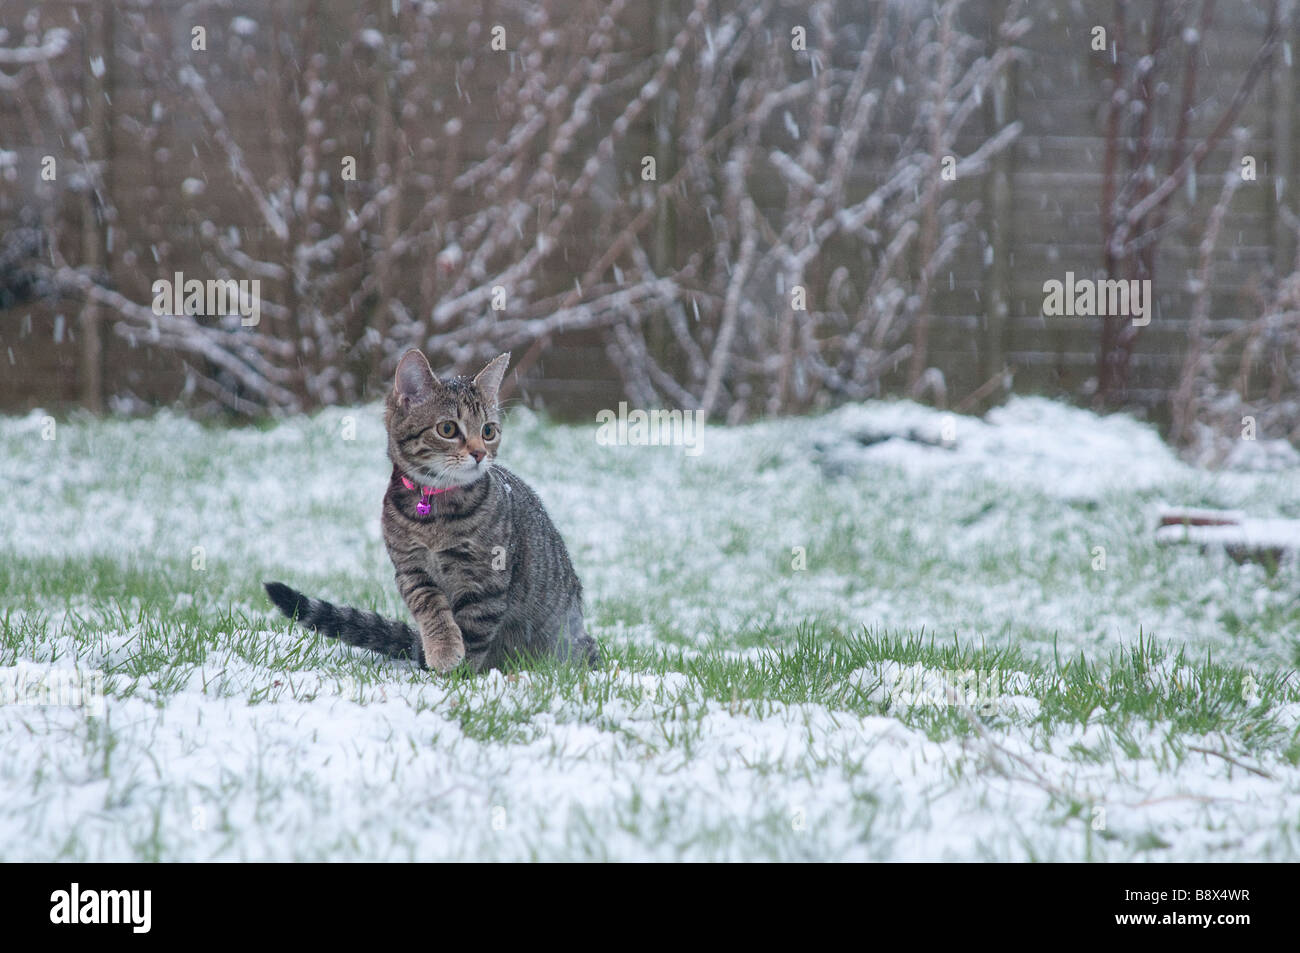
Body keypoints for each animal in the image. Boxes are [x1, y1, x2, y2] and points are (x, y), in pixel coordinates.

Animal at [265, 348, 598, 670]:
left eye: (488, 431)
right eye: (447, 428)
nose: (479, 453)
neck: (434, 513)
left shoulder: (485, 579)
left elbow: (473, 629)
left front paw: (459, 673)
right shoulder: (410, 569)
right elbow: (432, 608)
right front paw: (443, 650)